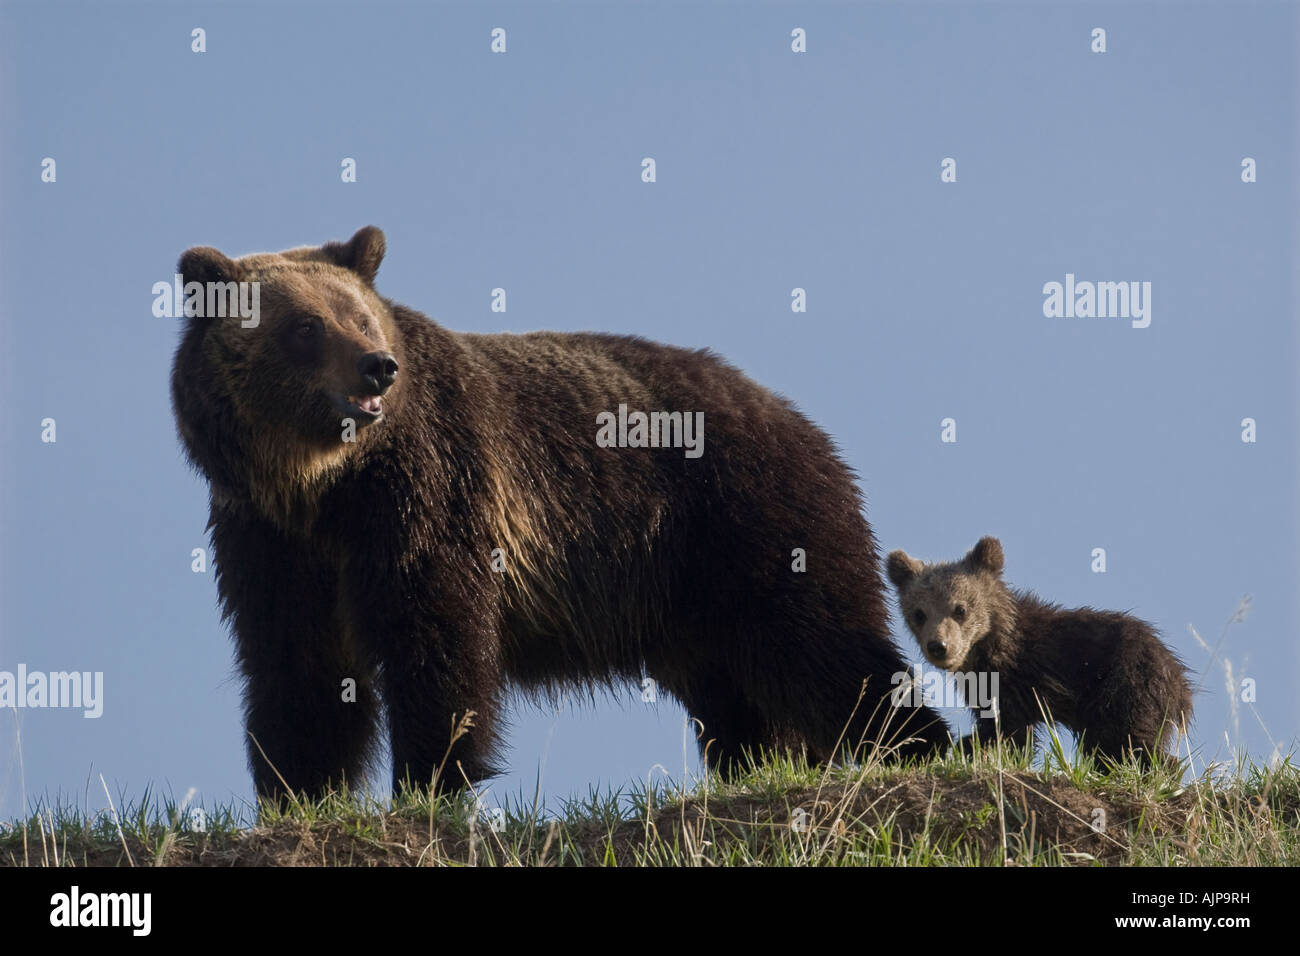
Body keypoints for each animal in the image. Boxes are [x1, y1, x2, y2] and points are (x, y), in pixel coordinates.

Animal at [170, 223, 946, 801]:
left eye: (361, 316)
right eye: (305, 326)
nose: (376, 367)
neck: (321, 486)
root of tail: (796, 416)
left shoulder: (425, 497)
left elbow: (435, 639)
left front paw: (431, 781)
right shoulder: (268, 539)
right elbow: (296, 666)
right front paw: (297, 789)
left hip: (750, 516)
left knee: (825, 642)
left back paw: (920, 745)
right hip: (689, 599)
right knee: (738, 697)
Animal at [889, 535, 1190, 764]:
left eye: (959, 608)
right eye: (919, 613)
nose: (938, 646)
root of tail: (1181, 680)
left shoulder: (1016, 681)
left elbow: (1011, 733)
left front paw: (972, 746)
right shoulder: (984, 685)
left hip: (1127, 684)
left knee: (1127, 740)